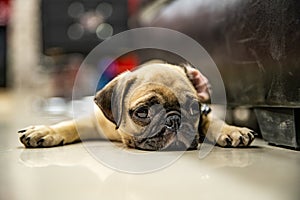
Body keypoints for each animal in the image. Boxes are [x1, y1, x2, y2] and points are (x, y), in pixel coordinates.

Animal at [17, 62, 254, 150]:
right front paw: (46, 131)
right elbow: (69, 124)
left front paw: (232, 130)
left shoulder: (205, 113)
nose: (174, 120)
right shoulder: (92, 123)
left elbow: (214, 120)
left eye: (193, 109)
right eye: (142, 112)